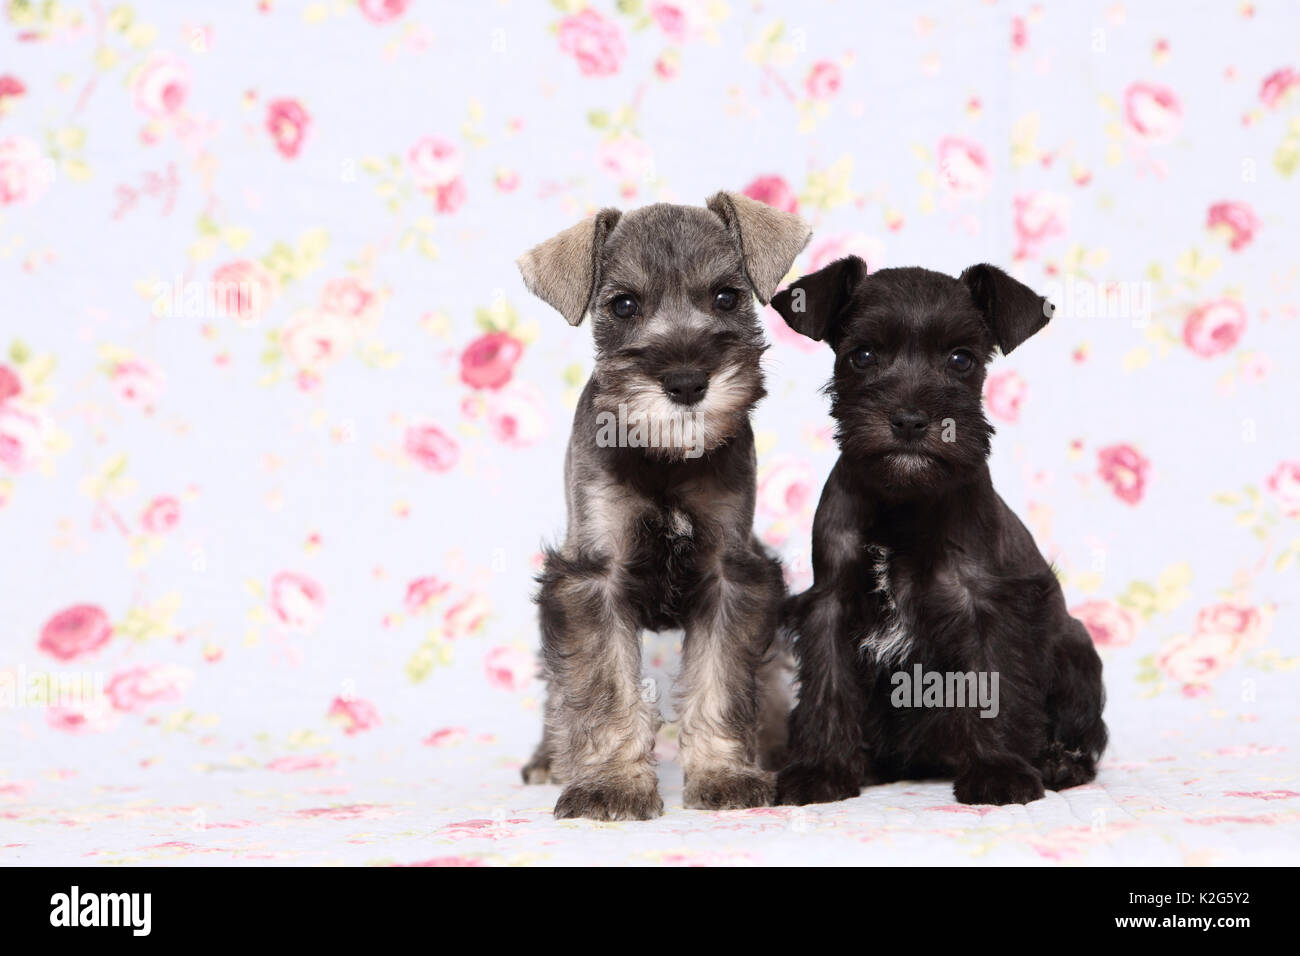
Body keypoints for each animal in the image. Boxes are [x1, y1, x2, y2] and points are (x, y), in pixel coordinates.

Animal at [512, 195, 806, 822]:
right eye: (624, 304)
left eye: (726, 296)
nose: (687, 382)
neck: (665, 457)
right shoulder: (591, 578)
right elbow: (602, 688)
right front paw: (611, 786)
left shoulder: (731, 574)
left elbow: (721, 679)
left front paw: (724, 774)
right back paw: (550, 757)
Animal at [769, 257, 1107, 806]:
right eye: (863, 355)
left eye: (961, 359)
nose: (910, 420)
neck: (904, 502)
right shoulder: (830, 605)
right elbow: (828, 686)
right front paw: (820, 769)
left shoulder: (989, 605)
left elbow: (994, 686)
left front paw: (997, 772)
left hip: (1076, 649)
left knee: (1084, 729)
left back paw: (1059, 763)